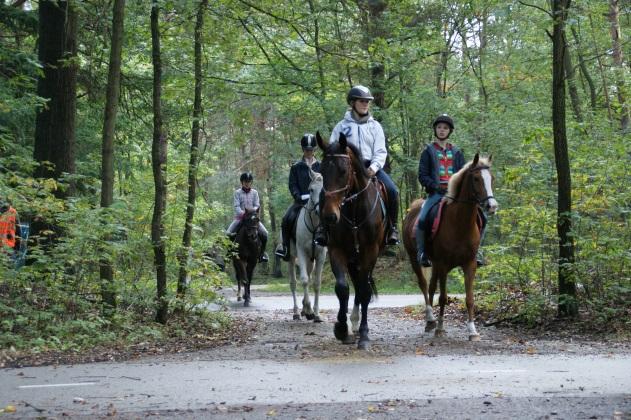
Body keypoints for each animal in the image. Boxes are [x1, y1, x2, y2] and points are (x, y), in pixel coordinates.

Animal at [288, 170, 326, 322]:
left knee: (309, 277)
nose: (319, 210)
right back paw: (297, 312)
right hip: (292, 258)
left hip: (311, 260)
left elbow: (316, 283)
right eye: (311, 190)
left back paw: (304, 309)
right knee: (293, 283)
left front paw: (316, 314)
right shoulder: (302, 253)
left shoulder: (320, 255)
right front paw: (309, 310)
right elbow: (304, 281)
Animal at [314, 130, 386, 348]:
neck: (354, 209)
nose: (330, 216)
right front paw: (341, 328)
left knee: (362, 286)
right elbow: (342, 288)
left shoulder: (370, 251)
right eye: (321, 171)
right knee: (355, 282)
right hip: (354, 258)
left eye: (343, 171)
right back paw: (352, 322)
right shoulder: (336, 250)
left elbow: (364, 291)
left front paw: (364, 334)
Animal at [404, 154, 498, 342]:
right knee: (424, 285)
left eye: (491, 178)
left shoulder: (470, 264)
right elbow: (443, 298)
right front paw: (440, 328)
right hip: (415, 259)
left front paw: (472, 331)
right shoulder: (443, 265)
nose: (492, 206)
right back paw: (431, 320)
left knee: (431, 287)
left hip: (434, 264)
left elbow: (469, 299)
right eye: (476, 179)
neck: (459, 224)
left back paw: (431, 322)